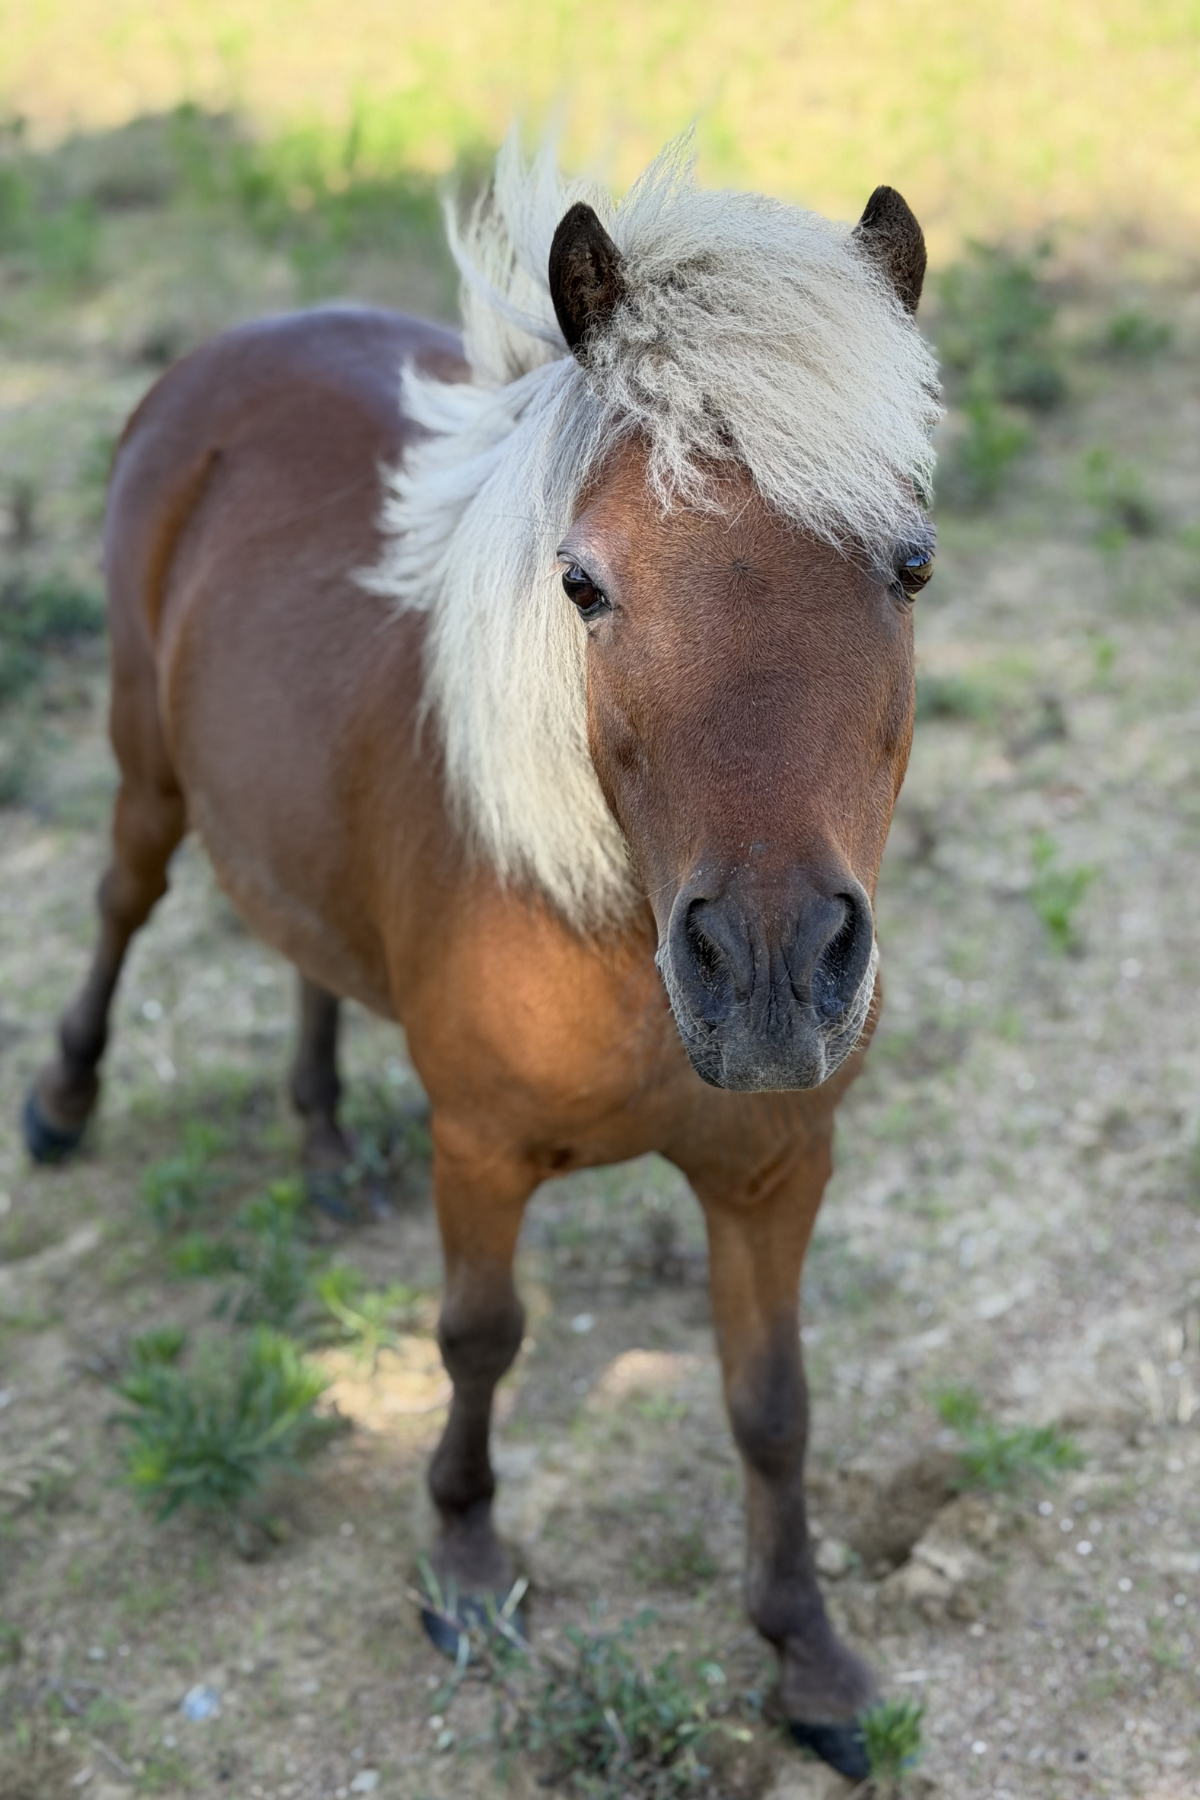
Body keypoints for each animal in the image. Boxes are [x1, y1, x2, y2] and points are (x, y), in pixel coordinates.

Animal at [22, 136, 939, 1781]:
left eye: (910, 566)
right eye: (582, 584)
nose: (773, 970)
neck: (601, 916)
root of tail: (233, 348)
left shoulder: (779, 1167)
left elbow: (771, 1403)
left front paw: (810, 1656)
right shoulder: (482, 1149)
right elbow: (478, 1338)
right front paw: (462, 1565)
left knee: (307, 947)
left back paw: (323, 1142)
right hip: (146, 769)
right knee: (125, 902)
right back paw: (63, 1104)